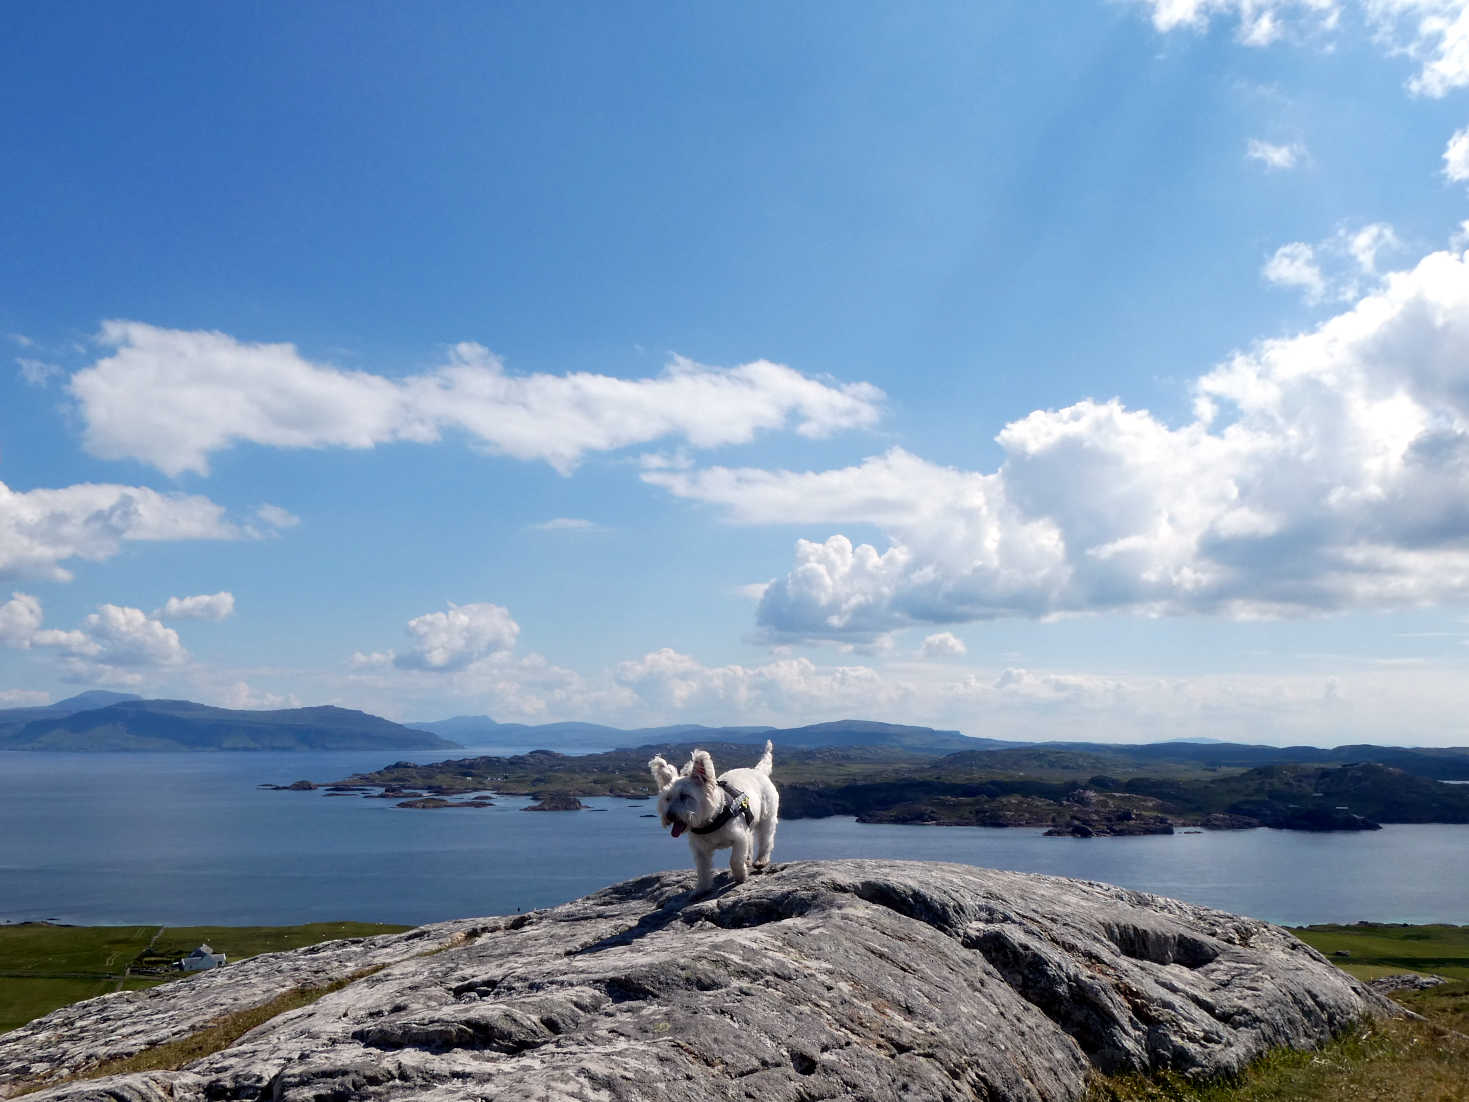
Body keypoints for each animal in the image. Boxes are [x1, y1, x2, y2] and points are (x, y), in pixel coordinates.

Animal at [646, 746, 775, 893]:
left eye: (685, 796)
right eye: (667, 798)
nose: (669, 816)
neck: (711, 820)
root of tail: (758, 771)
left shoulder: (739, 837)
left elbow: (735, 860)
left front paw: (740, 876)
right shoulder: (700, 849)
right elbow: (702, 869)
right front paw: (702, 889)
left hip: (767, 818)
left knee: (766, 839)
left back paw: (761, 860)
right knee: (751, 839)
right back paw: (748, 860)